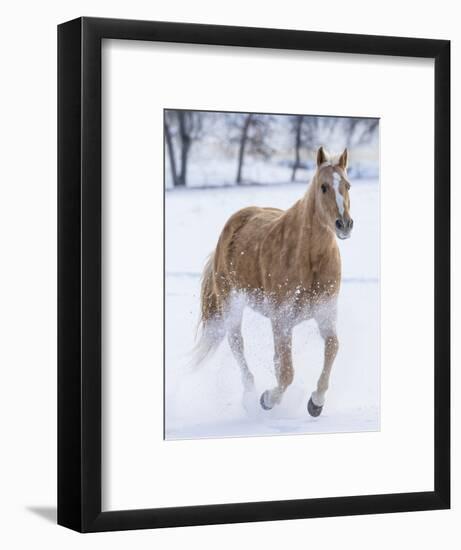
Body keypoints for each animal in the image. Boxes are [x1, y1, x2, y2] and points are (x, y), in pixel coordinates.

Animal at [194, 147, 352, 418]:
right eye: (323, 187)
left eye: (348, 185)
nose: (344, 224)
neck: (309, 259)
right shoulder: (282, 319)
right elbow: (286, 372)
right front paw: (267, 399)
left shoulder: (324, 312)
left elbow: (332, 348)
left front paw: (316, 403)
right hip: (232, 304)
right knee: (237, 344)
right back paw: (250, 394)